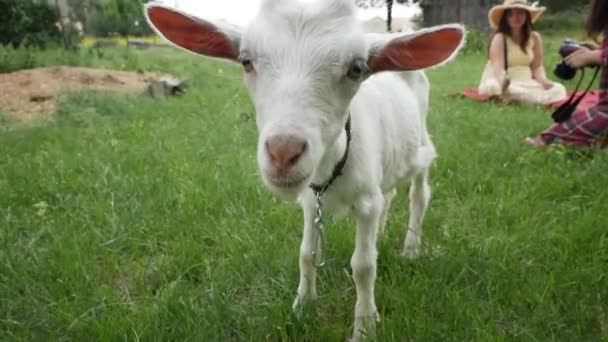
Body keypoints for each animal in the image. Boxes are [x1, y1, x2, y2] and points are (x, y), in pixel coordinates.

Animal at [145, 1, 464, 340]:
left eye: (356, 68)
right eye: (246, 61)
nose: (283, 151)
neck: (333, 165)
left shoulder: (365, 201)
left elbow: (364, 266)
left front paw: (364, 326)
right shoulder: (312, 201)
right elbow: (307, 253)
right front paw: (302, 306)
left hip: (422, 148)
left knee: (419, 195)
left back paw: (411, 248)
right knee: (388, 195)